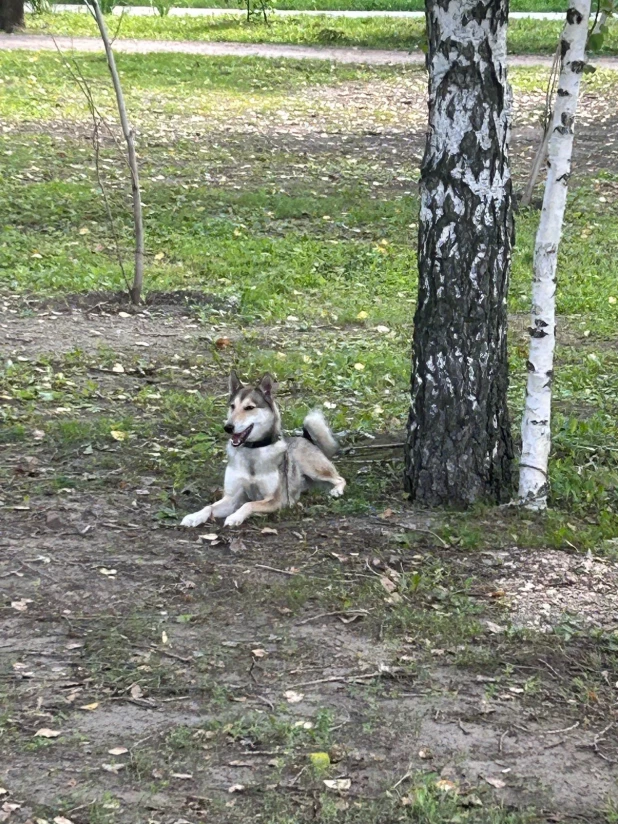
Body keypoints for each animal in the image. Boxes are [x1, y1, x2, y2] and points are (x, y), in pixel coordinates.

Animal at [180, 372, 346, 532]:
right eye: (232, 406)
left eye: (249, 408)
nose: (228, 427)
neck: (252, 450)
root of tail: (306, 437)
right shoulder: (232, 498)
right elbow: (209, 506)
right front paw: (194, 517)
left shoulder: (276, 500)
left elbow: (249, 504)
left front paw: (235, 517)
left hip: (315, 469)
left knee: (340, 478)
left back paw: (337, 491)